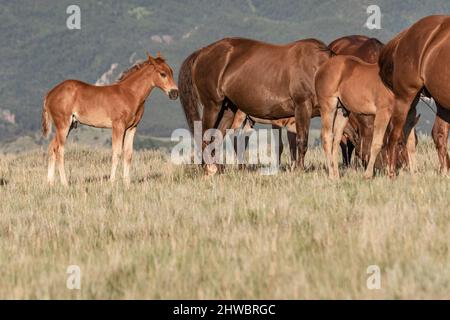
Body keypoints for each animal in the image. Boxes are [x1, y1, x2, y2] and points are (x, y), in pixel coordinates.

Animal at [40, 53, 178, 186]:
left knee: (52, 148)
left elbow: (128, 154)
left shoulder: (132, 128)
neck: (130, 94)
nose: (175, 93)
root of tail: (50, 94)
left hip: (67, 126)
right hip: (63, 125)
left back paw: (50, 183)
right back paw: (65, 183)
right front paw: (112, 182)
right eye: (163, 74)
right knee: (59, 151)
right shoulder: (118, 126)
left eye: (171, 72)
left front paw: (127, 183)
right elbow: (116, 153)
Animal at [178, 37, 332, 175]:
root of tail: (202, 52)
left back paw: (219, 169)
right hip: (213, 106)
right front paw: (299, 170)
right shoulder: (302, 107)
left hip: (228, 110)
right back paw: (210, 169)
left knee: (217, 137)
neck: (315, 69)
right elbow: (301, 141)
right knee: (206, 137)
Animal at [380, 14, 450, 175]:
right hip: (405, 97)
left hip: (440, 101)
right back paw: (391, 173)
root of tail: (404, 36)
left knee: (439, 134)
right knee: (394, 134)